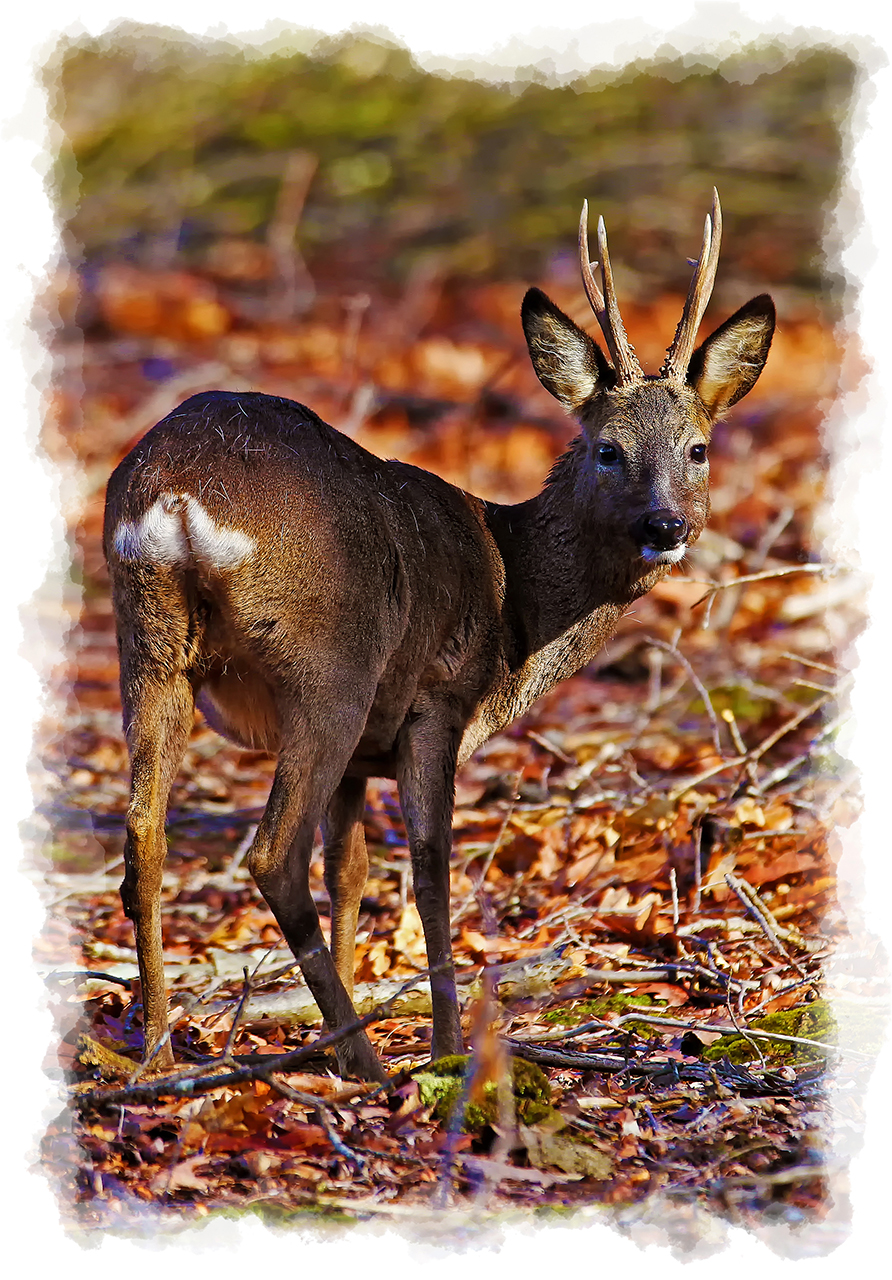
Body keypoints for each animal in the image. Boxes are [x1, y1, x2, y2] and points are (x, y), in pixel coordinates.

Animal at [104, 189, 772, 1075]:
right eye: (607, 449)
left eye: (697, 448)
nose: (664, 525)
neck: (518, 604)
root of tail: (177, 499)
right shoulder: (436, 705)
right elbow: (428, 870)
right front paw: (449, 1050)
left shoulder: (365, 756)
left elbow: (350, 868)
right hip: (332, 663)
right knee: (273, 852)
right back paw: (365, 1059)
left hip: (147, 643)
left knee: (144, 838)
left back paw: (157, 1050)